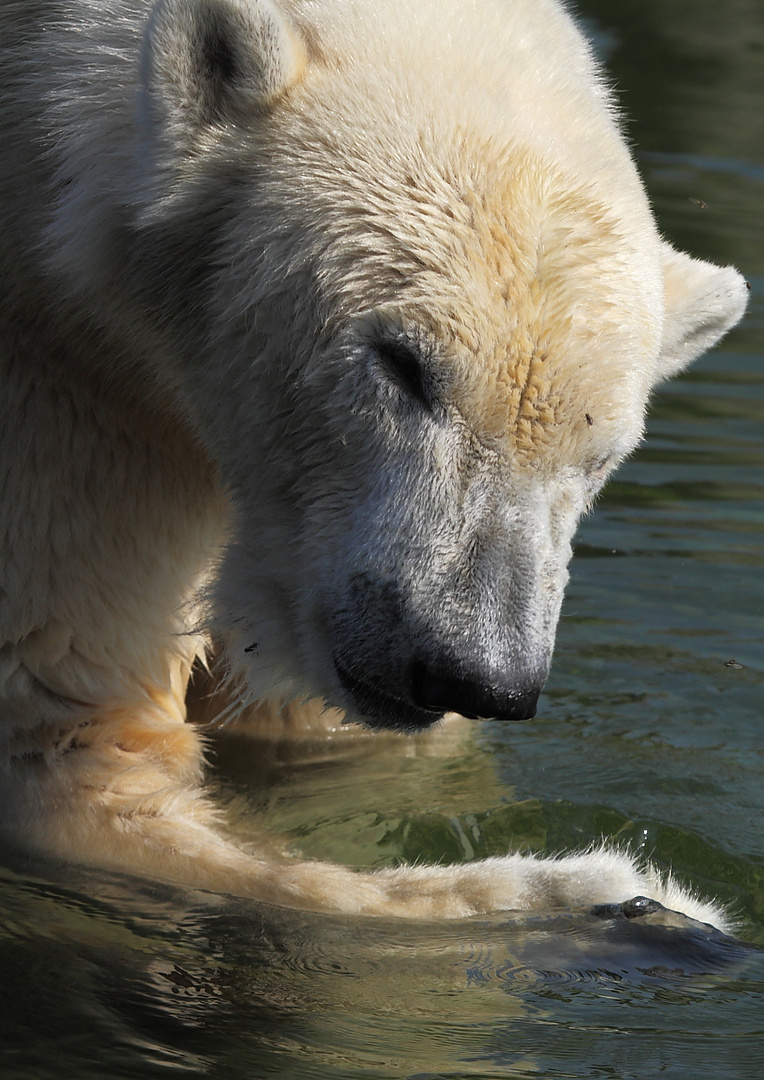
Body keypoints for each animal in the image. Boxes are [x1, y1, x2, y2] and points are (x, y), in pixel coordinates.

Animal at [0, 0, 747, 928]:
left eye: (601, 451)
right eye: (402, 364)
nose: (474, 673)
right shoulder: (73, 401)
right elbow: (76, 748)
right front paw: (613, 898)